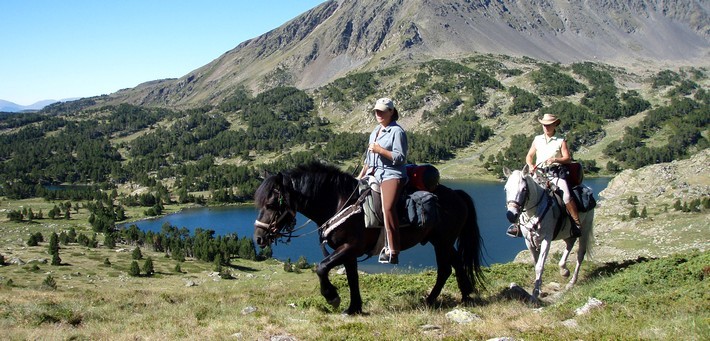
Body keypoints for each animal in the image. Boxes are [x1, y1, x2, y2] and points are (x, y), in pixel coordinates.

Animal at [253, 162, 486, 314]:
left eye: (271, 204)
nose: (259, 237)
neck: (340, 203)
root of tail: (456, 194)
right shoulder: (348, 253)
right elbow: (352, 278)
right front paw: (354, 308)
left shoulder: (349, 247)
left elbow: (321, 268)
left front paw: (332, 296)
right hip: (441, 241)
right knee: (456, 264)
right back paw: (466, 297)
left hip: (442, 241)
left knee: (445, 268)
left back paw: (431, 300)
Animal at [504, 167, 596, 300]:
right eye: (506, 188)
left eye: (524, 189)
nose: (511, 215)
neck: (533, 212)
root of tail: (588, 189)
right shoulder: (529, 242)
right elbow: (536, 264)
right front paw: (539, 290)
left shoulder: (546, 240)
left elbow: (539, 266)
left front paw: (535, 294)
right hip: (566, 232)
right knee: (570, 243)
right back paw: (564, 270)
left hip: (585, 229)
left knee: (580, 254)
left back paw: (572, 282)